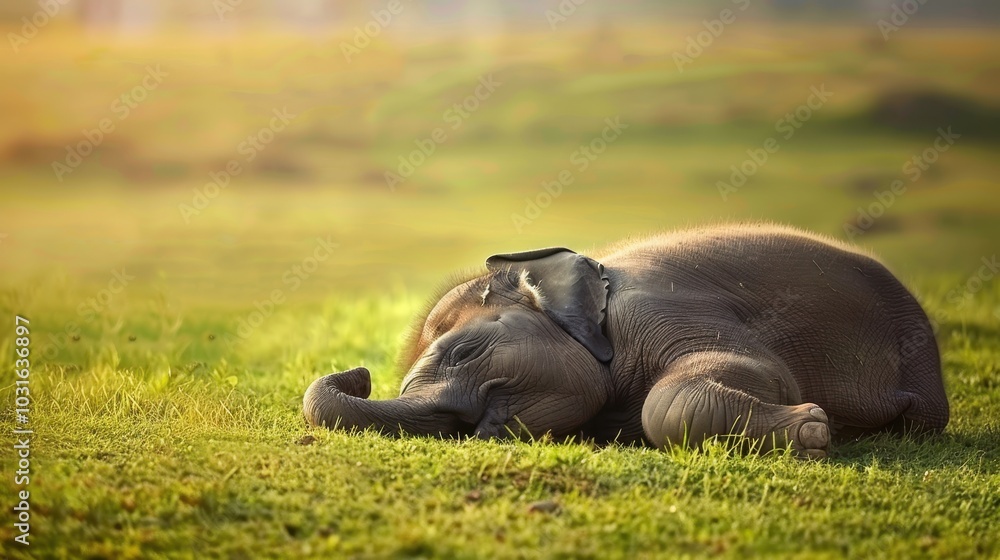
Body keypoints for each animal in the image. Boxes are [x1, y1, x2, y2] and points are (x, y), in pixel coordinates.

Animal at [303, 224, 949, 458]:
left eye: (464, 353)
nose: (359, 373)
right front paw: (814, 428)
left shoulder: (662, 308)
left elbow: (740, 375)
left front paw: (814, 429)